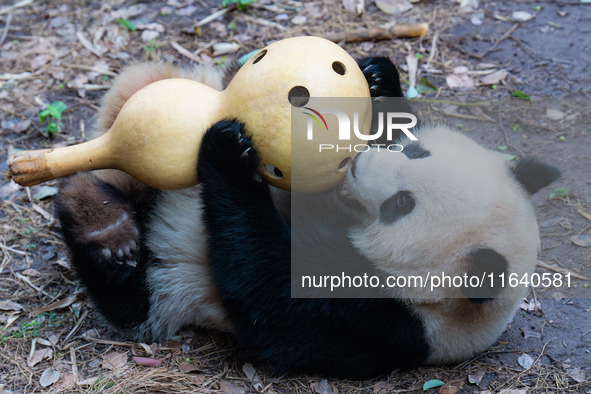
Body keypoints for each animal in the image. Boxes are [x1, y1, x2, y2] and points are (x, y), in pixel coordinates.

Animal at [54, 54, 560, 378]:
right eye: (417, 152)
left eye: (401, 205)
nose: (357, 162)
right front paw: (379, 81)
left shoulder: (378, 322)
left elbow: (265, 287)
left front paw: (228, 154)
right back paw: (99, 206)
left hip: (166, 284)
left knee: (130, 296)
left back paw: (103, 229)